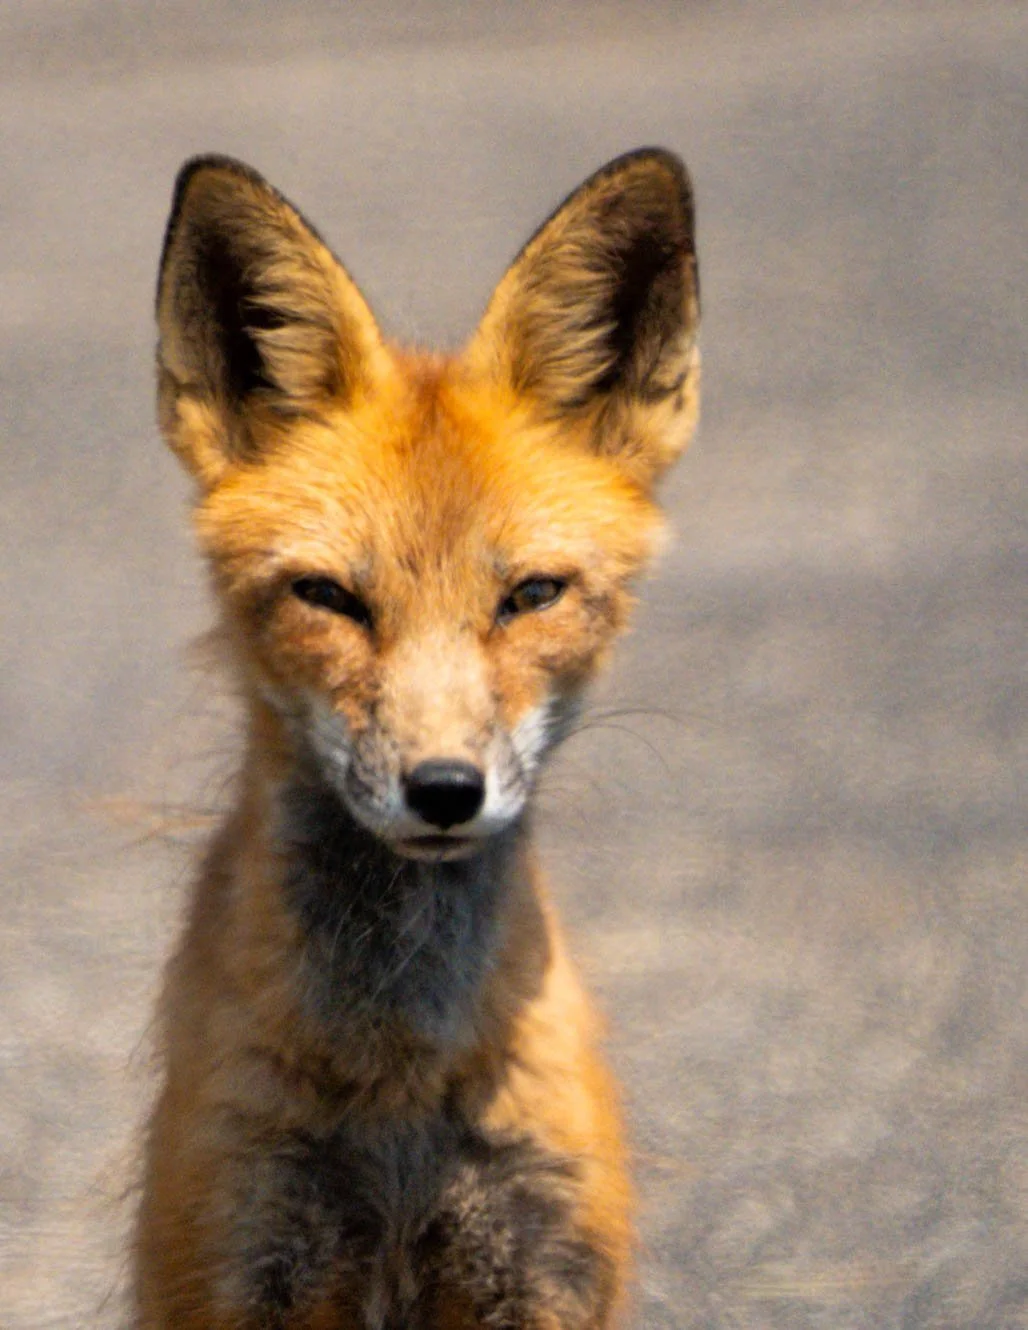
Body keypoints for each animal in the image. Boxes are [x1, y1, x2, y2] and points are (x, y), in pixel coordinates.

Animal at [135, 146, 699, 1329]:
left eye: (530, 596)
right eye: (329, 597)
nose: (444, 789)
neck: (399, 1084)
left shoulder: (538, 1265)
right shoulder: (243, 1252)